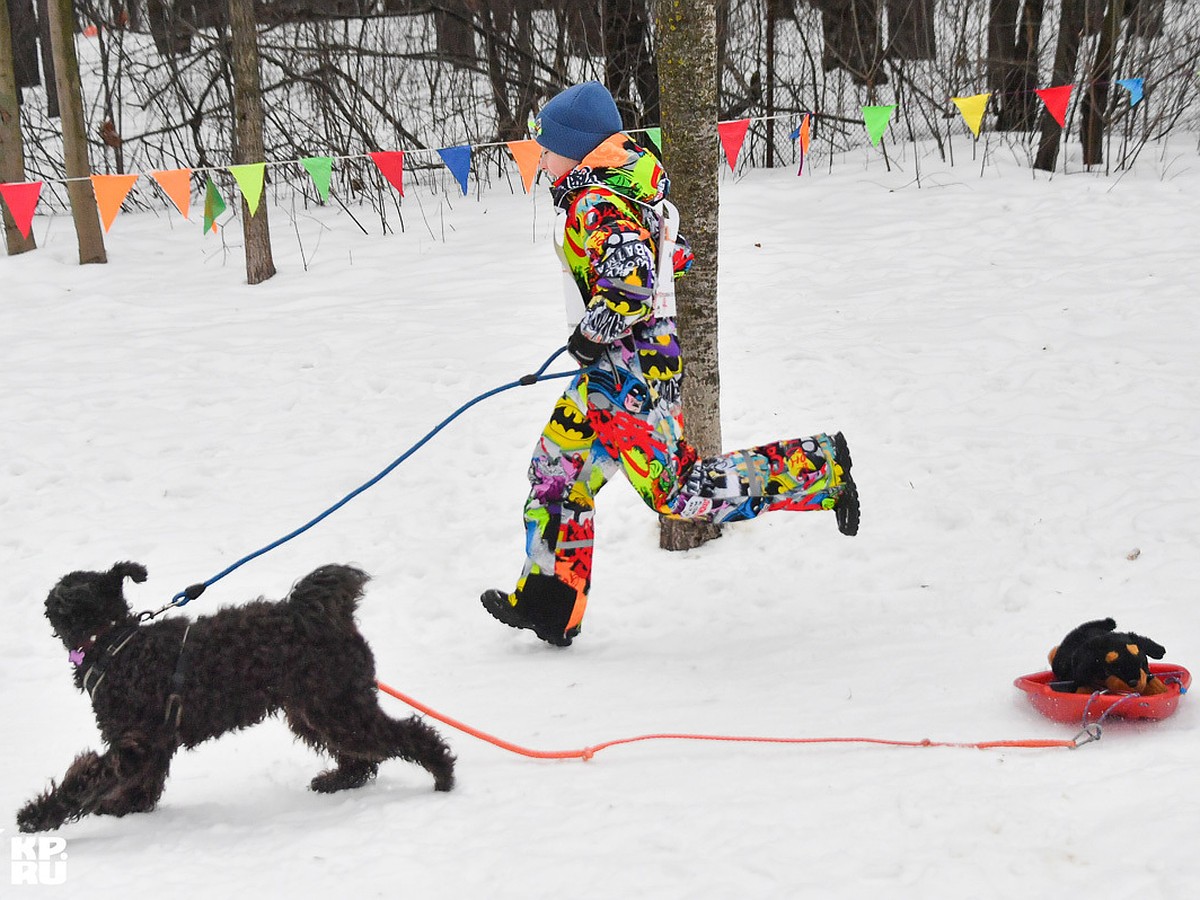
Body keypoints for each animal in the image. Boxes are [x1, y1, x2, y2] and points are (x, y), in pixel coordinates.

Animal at [14, 561, 453, 835]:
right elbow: (144, 783)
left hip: (336, 706)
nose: (47, 598)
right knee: (363, 757)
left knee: (408, 735)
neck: (114, 640)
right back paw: (339, 780)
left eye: (61, 592)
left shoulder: (134, 743)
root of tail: (324, 614)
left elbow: (86, 777)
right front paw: (127, 807)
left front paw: (37, 816)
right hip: (314, 709)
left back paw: (442, 776)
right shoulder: (151, 743)